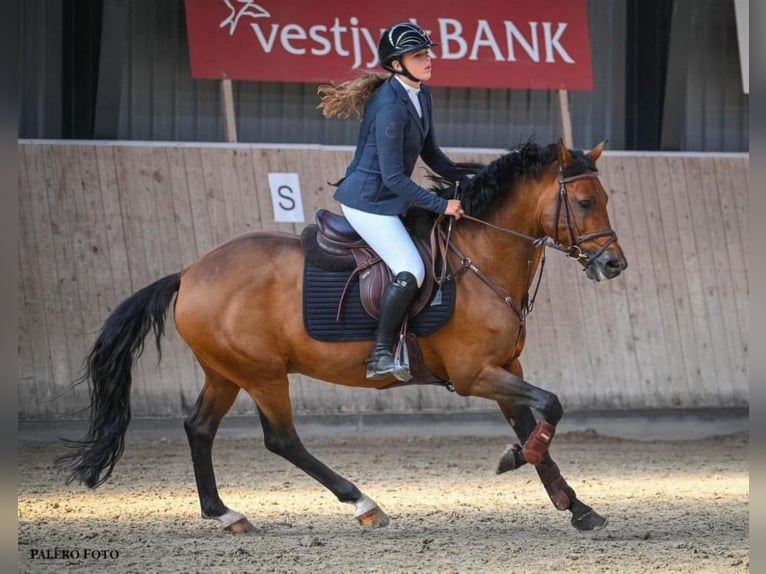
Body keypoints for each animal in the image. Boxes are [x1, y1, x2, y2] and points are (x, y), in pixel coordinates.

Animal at [55, 140, 632, 536]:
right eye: (584, 202)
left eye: (605, 197)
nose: (614, 264)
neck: (480, 257)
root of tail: (190, 273)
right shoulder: (475, 376)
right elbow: (551, 406)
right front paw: (514, 459)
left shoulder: (506, 369)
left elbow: (538, 427)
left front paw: (577, 508)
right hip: (262, 373)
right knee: (281, 439)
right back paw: (362, 504)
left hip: (226, 371)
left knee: (199, 428)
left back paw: (223, 514)